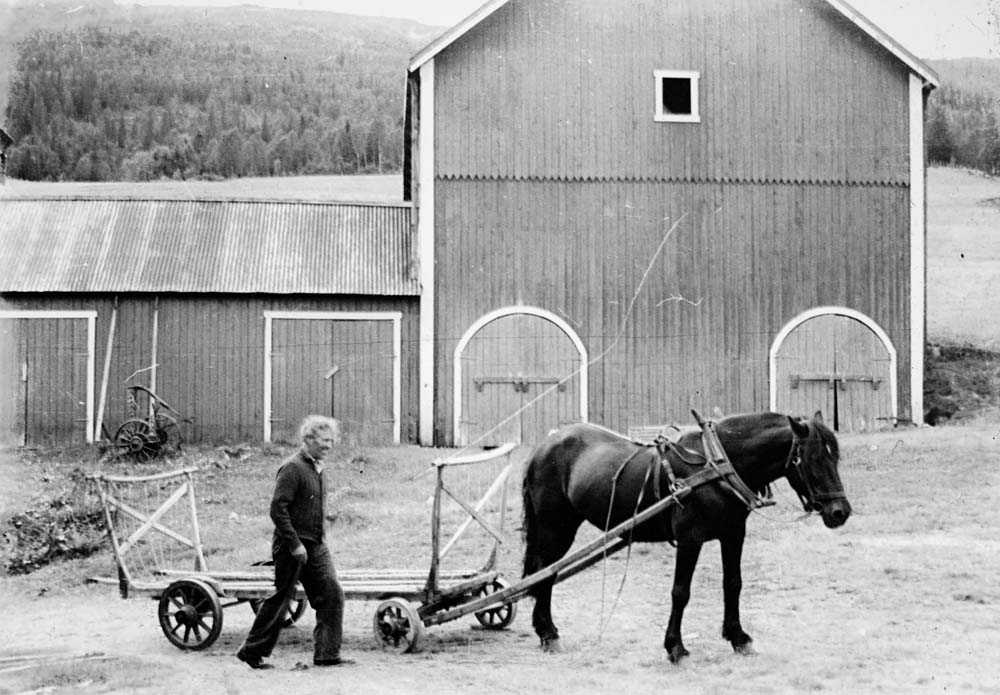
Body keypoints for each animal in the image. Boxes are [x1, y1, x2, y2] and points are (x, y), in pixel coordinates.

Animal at [520, 410, 856, 660]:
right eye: (812, 459)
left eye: (835, 457)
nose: (840, 512)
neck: (718, 466)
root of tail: (544, 447)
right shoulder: (689, 539)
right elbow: (680, 592)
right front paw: (675, 647)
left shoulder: (734, 534)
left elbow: (733, 584)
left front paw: (738, 637)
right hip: (555, 528)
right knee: (545, 574)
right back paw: (548, 633)